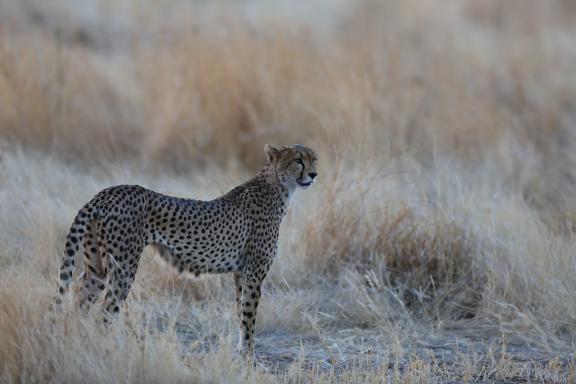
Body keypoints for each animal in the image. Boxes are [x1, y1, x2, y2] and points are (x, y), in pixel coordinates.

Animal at [54, 146, 318, 356]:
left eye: (314, 159)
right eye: (298, 160)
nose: (314, 174)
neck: (277, 186)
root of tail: (107, 193)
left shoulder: (240, 274)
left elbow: (240, 312)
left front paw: (241, 351)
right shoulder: (253, 273)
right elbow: (249, 316)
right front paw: (249, 357)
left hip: (96, 269)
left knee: (79, 304)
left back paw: (80, 343)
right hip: (123, 269)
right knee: (105, 313)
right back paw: (107, 350)